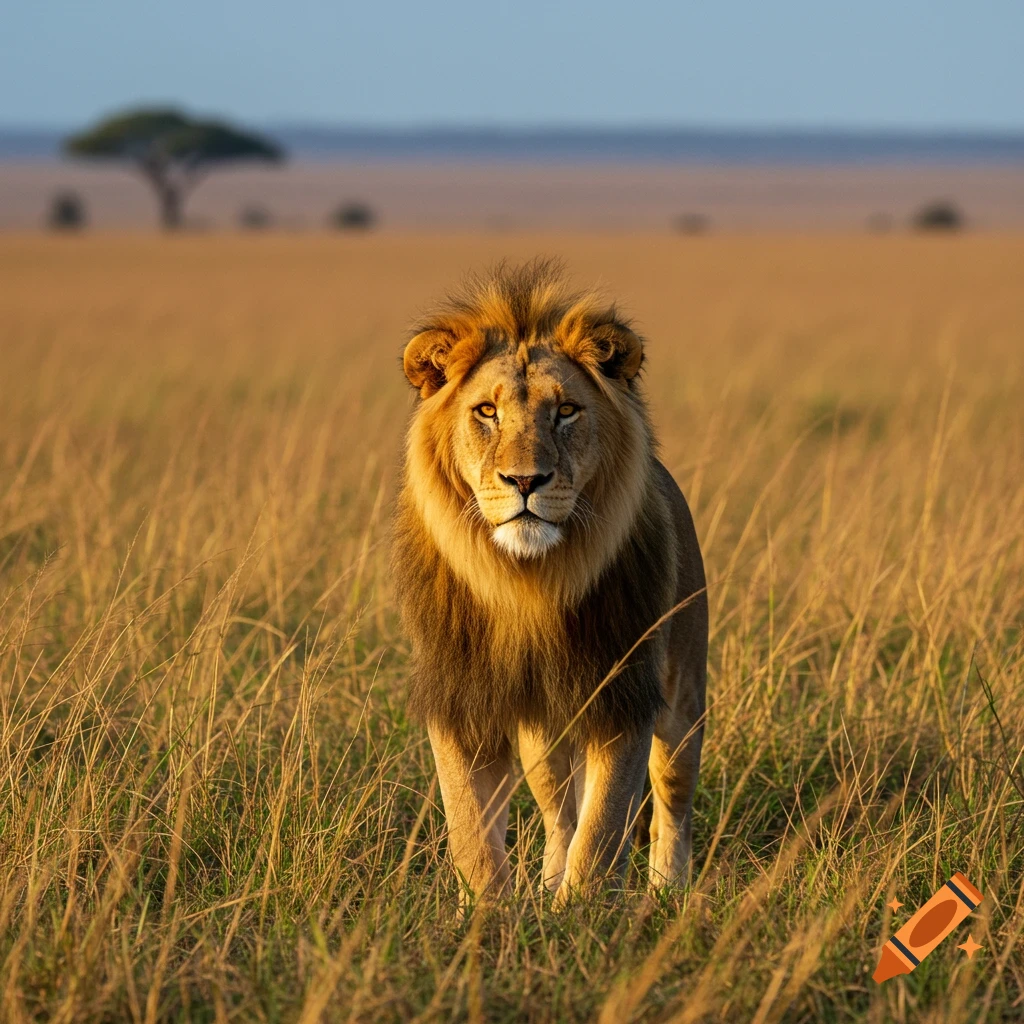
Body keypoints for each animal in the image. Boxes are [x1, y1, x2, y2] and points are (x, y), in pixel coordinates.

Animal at [392, 259, 707, 906]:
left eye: (566, 411)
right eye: (486, 412)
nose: (525, 481)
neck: (528, 582)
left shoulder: (621, 697)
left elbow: (604, 827)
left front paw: (581, 914)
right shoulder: (462, 699)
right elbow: (472, 831)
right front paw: (490, 914)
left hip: (684, 700)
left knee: (671, 800)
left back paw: (669, 891)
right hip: (541, 736)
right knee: (559, 811)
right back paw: (547, 880)